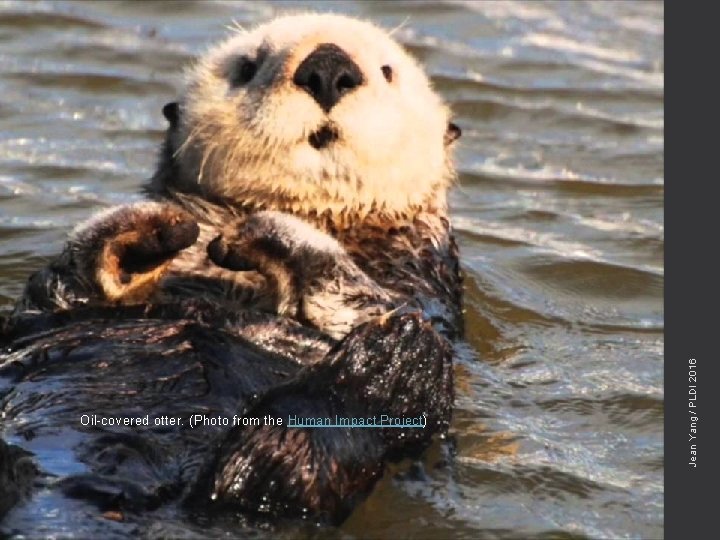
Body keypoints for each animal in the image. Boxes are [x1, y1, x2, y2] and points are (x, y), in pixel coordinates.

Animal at [0, 11, 462, 532]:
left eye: (387, 71)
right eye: (247, 67)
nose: (328, 68)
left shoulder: (421, 282)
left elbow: (359, 295)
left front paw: (264, 231)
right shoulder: (52, 303)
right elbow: (66, 282)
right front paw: (160, 227)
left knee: (279, 470)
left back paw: (386, 360)